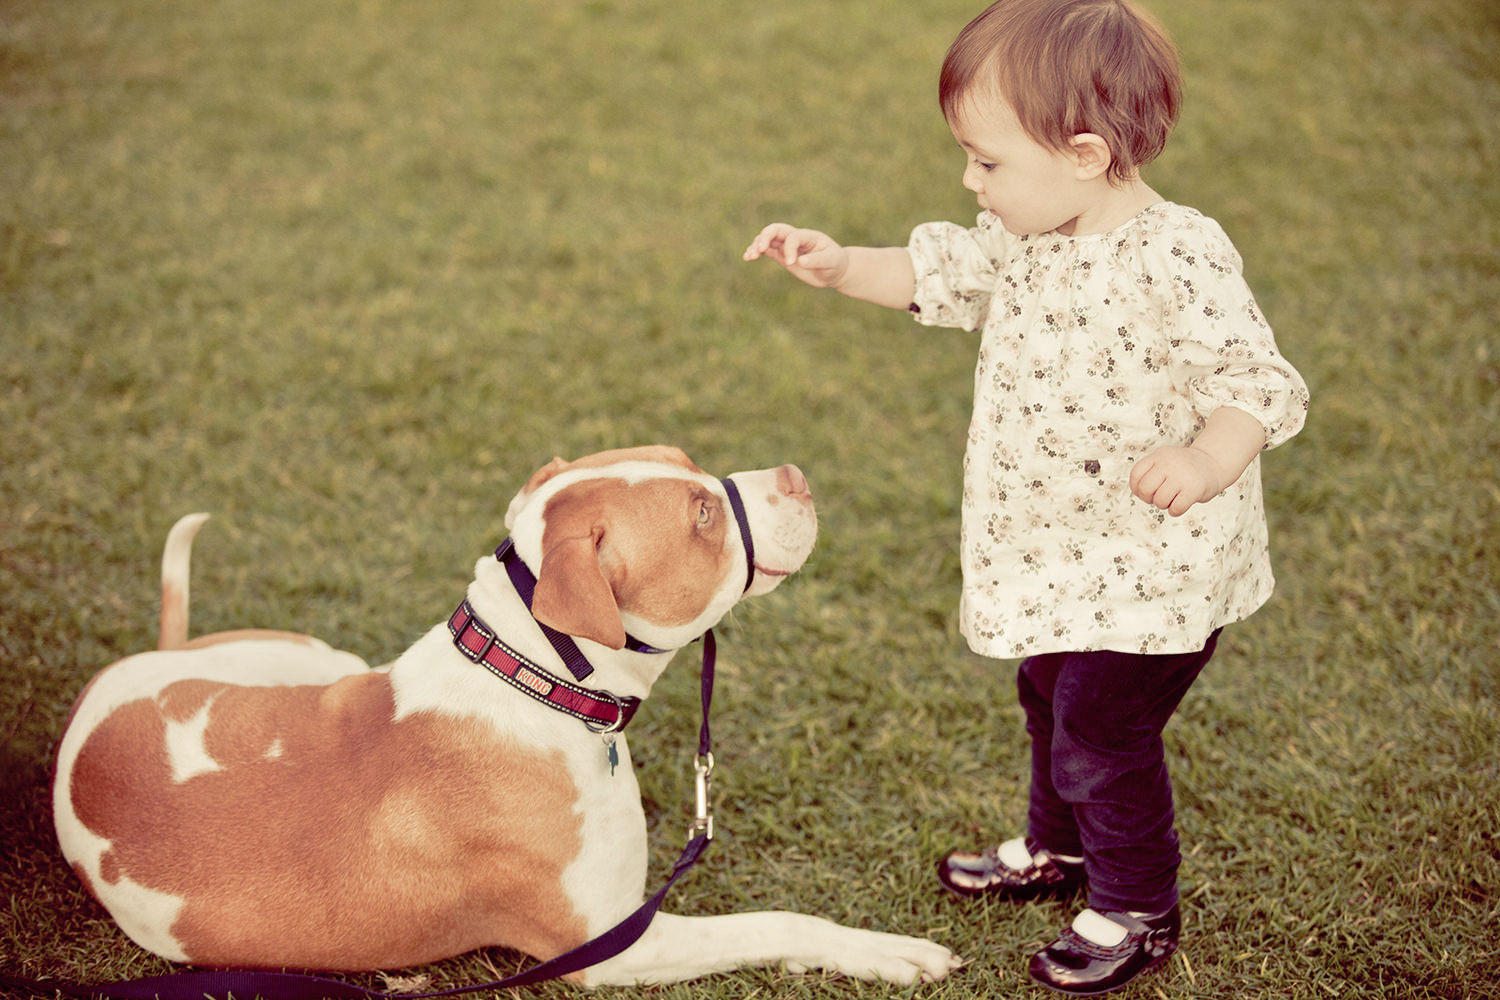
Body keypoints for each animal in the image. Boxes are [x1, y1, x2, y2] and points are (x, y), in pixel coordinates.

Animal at [55, 449, 960, 989]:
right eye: (700, 514)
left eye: (693, 465)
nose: (798, 473)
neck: (536, 681)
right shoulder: (614, 946)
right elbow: (775, 921)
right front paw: (888, 951)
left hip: (323, 661)